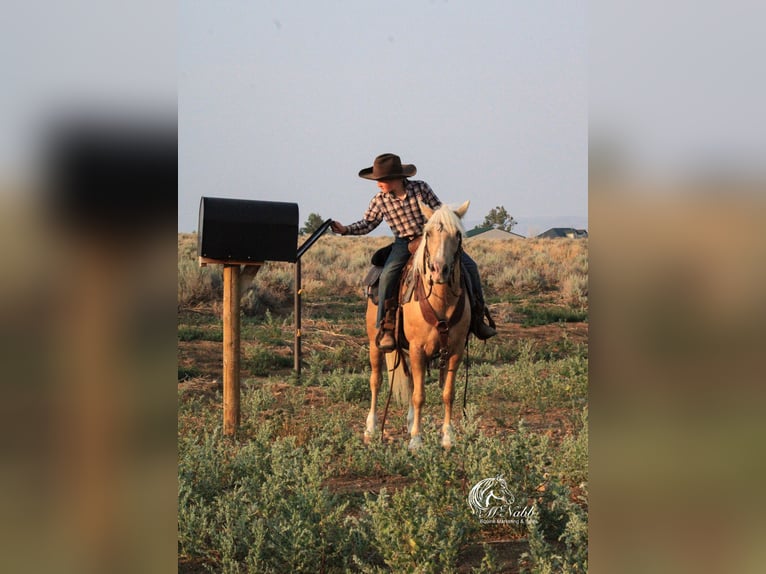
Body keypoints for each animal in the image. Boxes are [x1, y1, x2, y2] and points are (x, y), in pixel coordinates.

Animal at [364, 201, 472, 450]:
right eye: (429, 233)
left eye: (457, 235)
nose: (439, 270)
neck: (441, 300)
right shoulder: (417, 348)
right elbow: (419, 395)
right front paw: (416, 440)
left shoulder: (455, 351)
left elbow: (447, 393)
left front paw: (448, 437)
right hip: (375, 344)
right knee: (376, 381)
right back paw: (371, 428)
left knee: (411, 381)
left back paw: (410, 421)